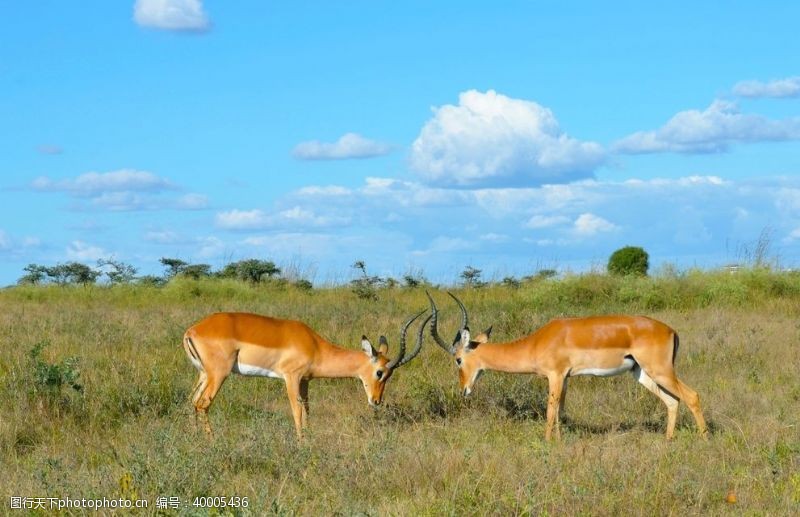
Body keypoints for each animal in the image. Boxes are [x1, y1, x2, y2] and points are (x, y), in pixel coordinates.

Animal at [183, 308, 432, 438]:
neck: (315, 346)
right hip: (219, 374)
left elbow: (307, 411)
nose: (376, 401)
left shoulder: (305, 381)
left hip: (204, 374)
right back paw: (212, 442)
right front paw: (301, 443)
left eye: (389, 375)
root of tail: (192, 330)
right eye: (380, 372)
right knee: (203, 403)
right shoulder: (291, 378)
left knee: (191, 401)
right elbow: (296, 411)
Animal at [424, 290, 708, 440]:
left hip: (661, 371)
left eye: (458, 359)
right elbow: (560, 411)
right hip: (642, 373)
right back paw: (668, 440)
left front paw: (547, 442)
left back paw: (704, 438)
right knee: (672, 401)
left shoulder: (556, 375)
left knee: (692, 395)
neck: (536, 342)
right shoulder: (567, 378)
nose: (463, 389)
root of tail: (670, 330)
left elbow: (550, 412)